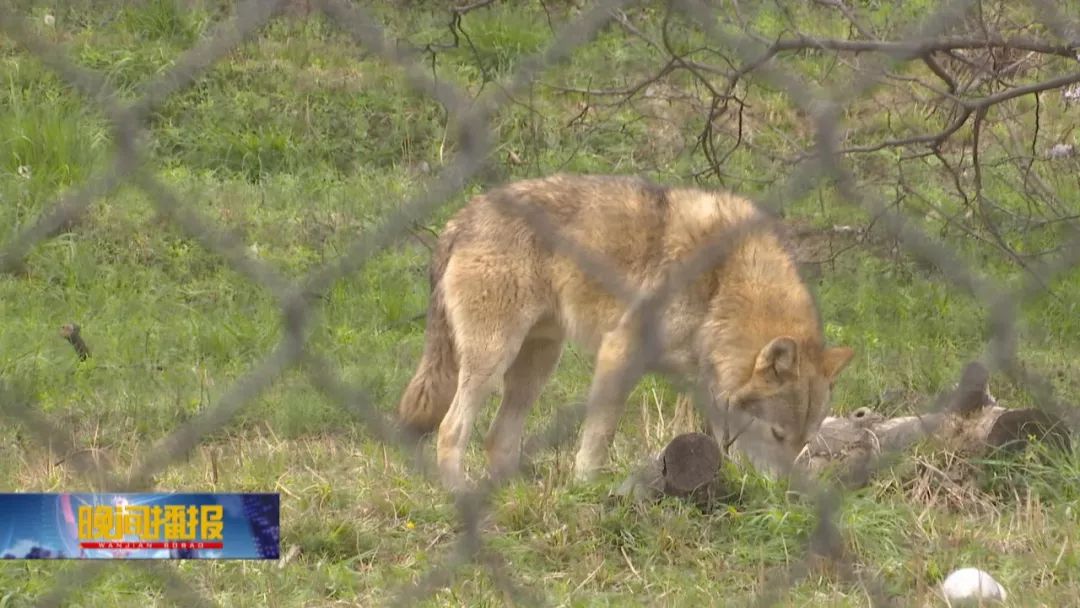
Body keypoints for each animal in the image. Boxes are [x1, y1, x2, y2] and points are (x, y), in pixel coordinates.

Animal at [396, 174, 854, 490]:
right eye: (778, 434)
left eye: (803, 441)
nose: (788, 494)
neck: (724, 283)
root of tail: (461, 217)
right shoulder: (620, 350)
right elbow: (600, 434)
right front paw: (584, 488)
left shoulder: (708, 384)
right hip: (492, 362)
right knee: (451, 429)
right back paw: (459, 492)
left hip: (537, 366)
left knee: (497, 438)